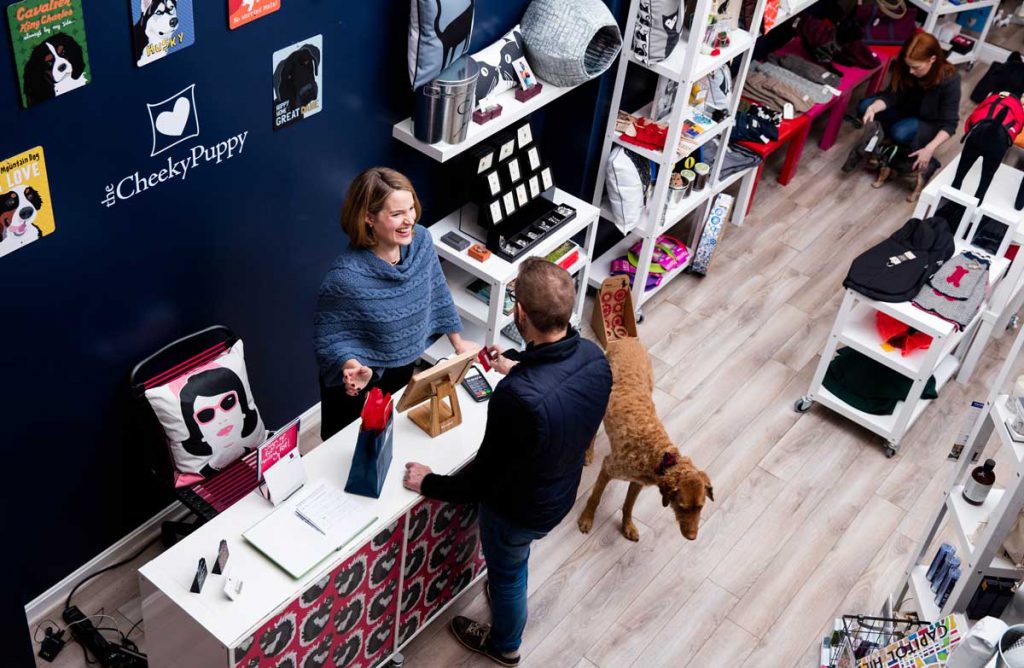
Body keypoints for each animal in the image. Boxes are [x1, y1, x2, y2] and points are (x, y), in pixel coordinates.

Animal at [577, 336, 712, 540]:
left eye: (700, 507)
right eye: (682, 507)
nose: (692, 537)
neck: (659, 454)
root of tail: (625, 339)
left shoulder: (637, 483)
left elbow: (628, 506)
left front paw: (628, 526)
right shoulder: (608, 468)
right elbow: (595, 498)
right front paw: (586, 519)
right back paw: (588, 454)